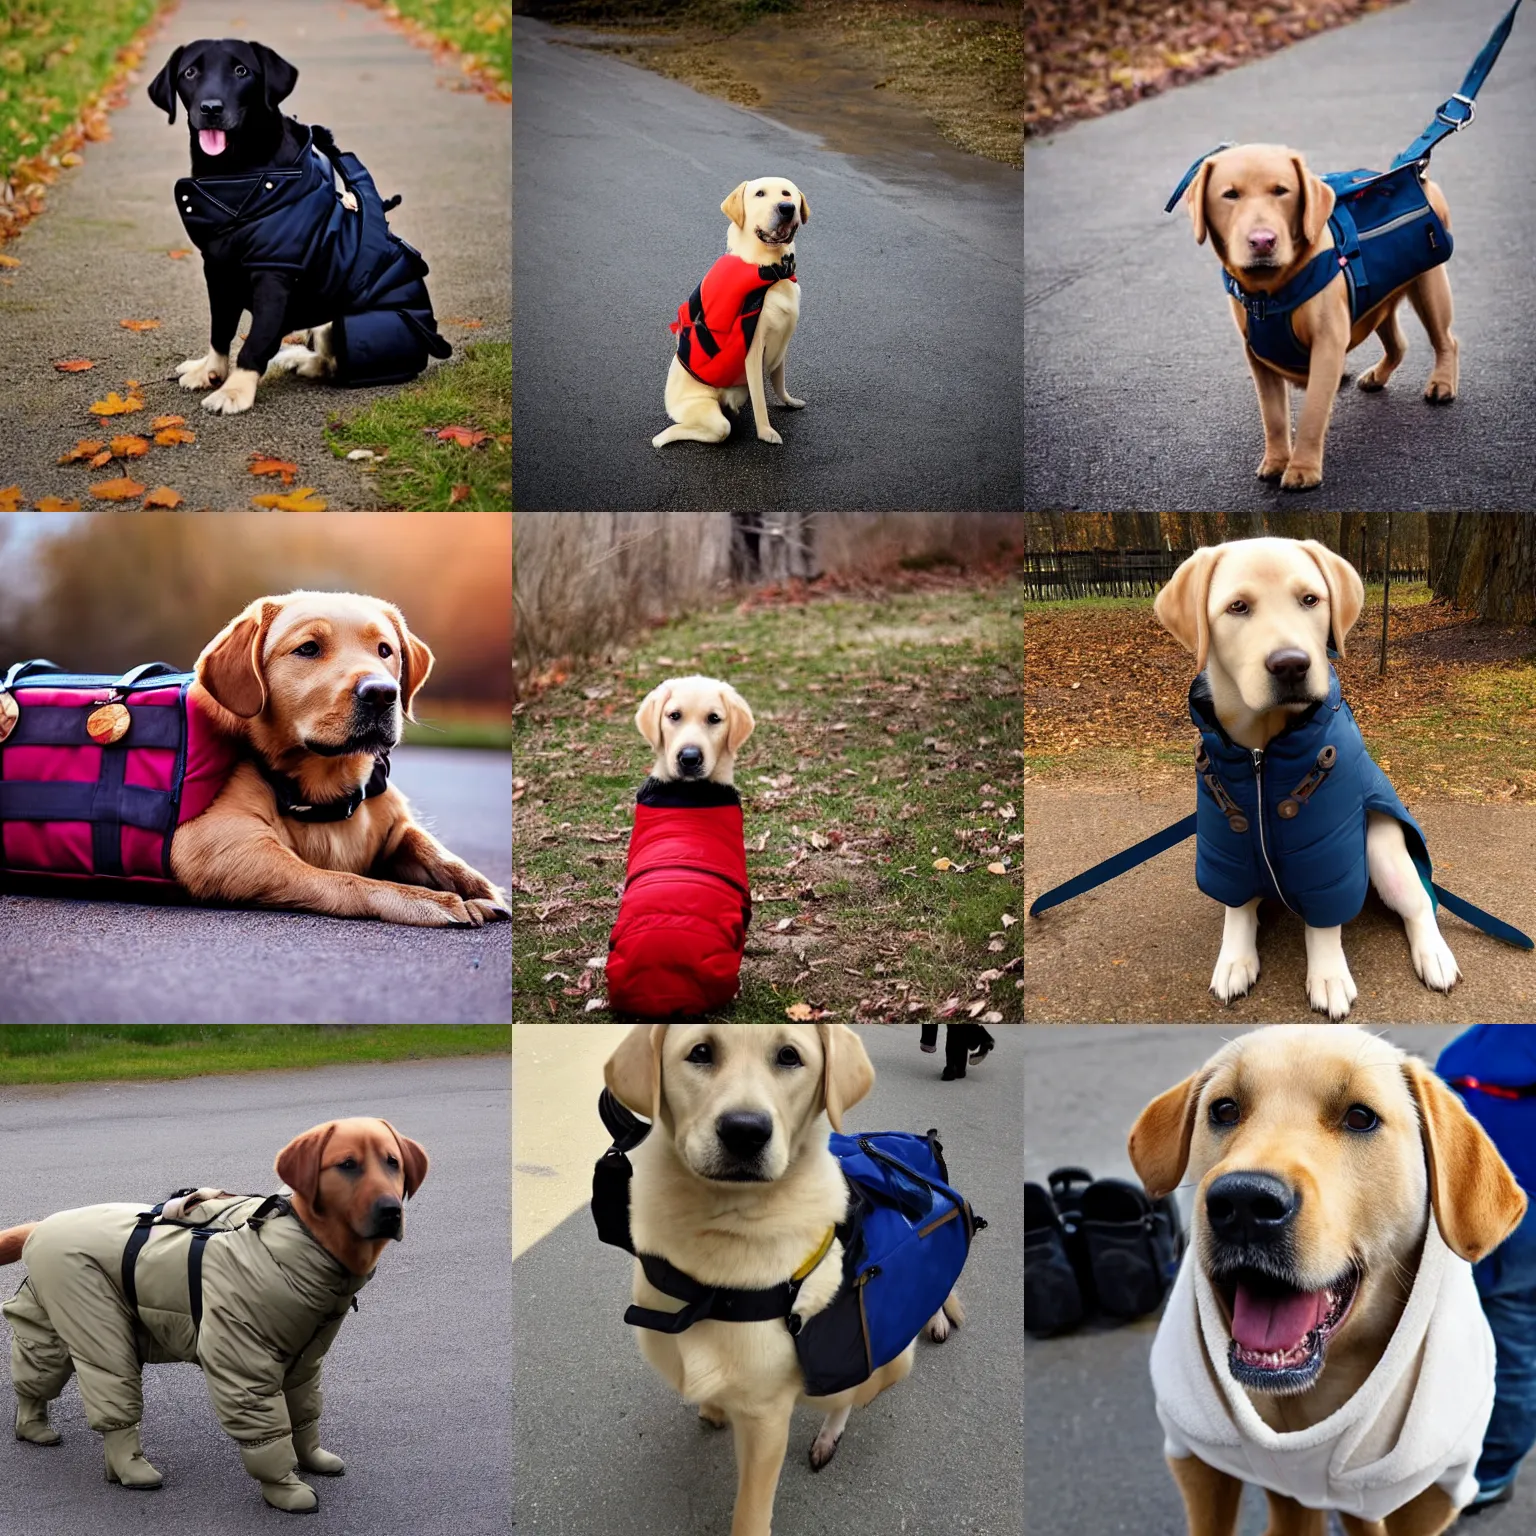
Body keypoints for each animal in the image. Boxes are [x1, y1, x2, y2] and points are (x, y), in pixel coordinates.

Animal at [602, 1019, 952, 1536]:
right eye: (700, 1052)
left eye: (790, 1056)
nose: (745, 1132)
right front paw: (714, 1406)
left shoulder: (766, 1419)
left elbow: (749, 1512)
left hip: (889, 1363)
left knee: (850, 1396)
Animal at [651, 176, 811, 448]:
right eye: (760, 194)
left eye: (787, 193)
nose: (786, 208)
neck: (771, 272)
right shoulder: (753, 350)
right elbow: (760, 401)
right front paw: (766, 431)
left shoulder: (782, 346)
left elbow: (779, 382)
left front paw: (789, 401)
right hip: (708, 417)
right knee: (711, 428)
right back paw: (665, 436)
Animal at [1155, 540, 1456, 1019]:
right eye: (1237, 607)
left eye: (1311, 600)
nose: (1292, 665)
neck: (1261, 756)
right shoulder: (1227, 845)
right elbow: (1237, 908)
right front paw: (1235, 958)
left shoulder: (1327, 858)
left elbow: (1324, 923)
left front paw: (1328, 975)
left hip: (1383, 850)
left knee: (1421, 905)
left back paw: (1435, 956)